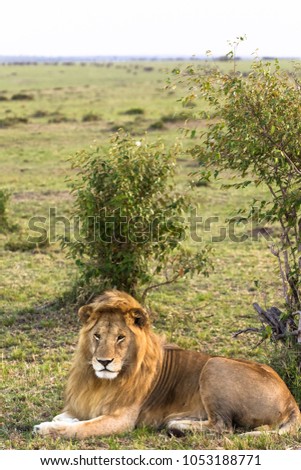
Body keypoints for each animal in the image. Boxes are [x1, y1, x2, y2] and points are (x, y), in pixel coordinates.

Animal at [33, 288, 300, 438]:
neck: (101, 382)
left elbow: (78, 429)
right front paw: (60, 420)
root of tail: (291, 399)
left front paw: (45, 429)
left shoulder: (122, 419)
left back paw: (176, 425)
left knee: (223, 426)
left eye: (120, 337)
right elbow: (65, 417)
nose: (103, 361)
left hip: (214, 365)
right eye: (97, 336)